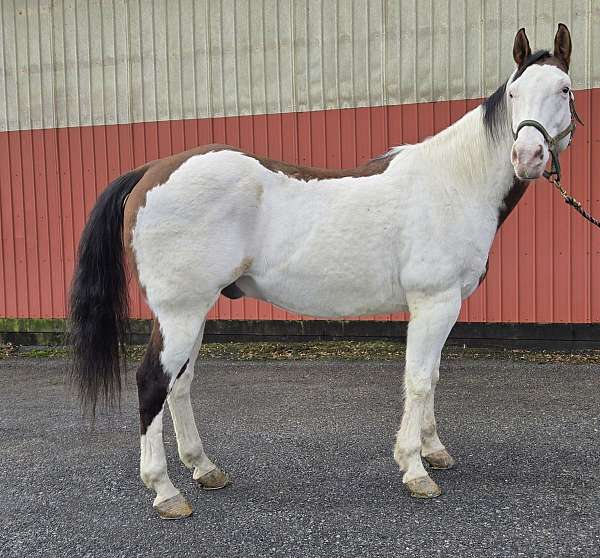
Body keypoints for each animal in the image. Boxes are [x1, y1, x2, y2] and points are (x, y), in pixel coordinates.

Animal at [70, 23, 580, 520]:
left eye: (564, 88)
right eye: (514, 93)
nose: (528, 157)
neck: (453, 182)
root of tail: (151, 170)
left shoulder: (443, 306)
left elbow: (432, 376)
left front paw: (434, 451)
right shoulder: (434, 302)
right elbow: (418, 380)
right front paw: (415, 469)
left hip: (193, 311)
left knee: (180, 384)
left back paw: (204, 468)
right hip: (180, 311)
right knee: (153, 383)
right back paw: (165, 491)